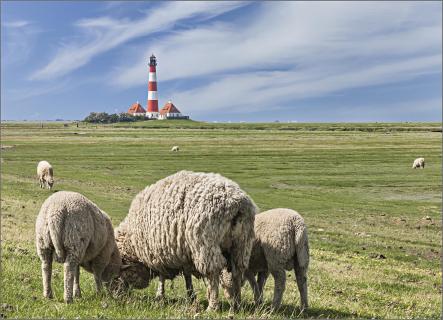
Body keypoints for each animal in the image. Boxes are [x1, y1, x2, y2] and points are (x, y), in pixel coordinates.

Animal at [114, 171, 258, 312]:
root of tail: (237, 204)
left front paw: (160, 296)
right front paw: (190, 296)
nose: (116, 296)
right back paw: (237, 304)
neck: (132, 242)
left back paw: (212, 306)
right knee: (238, 270)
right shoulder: (183, 252)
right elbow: (187, 275)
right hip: (242, 244)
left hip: (205, 244)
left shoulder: (159, 253)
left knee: (213, 273)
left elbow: (162, 277)